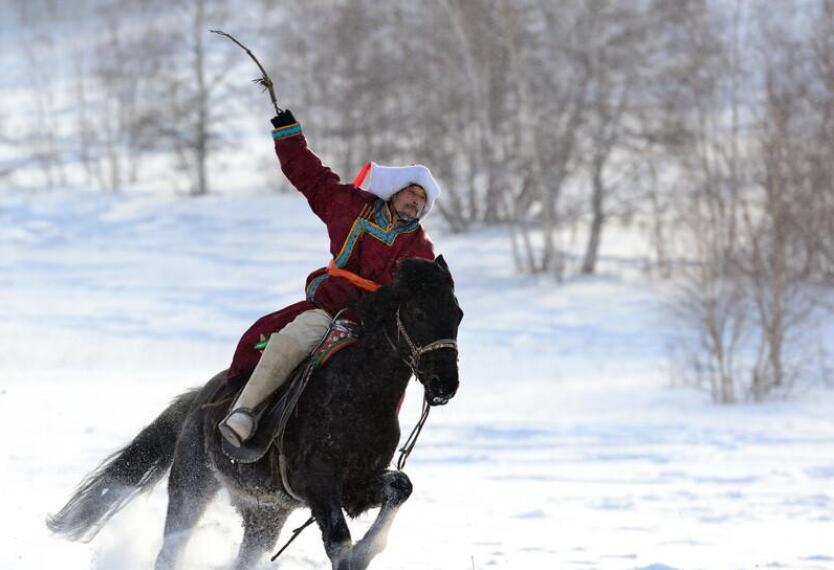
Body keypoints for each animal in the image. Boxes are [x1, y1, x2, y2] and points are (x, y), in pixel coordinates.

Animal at [46, 256, 462, 568]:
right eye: (419, 312)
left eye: (457, 314)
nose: (445, 384)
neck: (358, 395)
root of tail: (199, 401)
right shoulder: (319, 484)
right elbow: (339, 542)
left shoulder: (359, 483)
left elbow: (400, 489)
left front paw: (368, 550)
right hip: (191, 487)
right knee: (169, 552)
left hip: (266, 516)